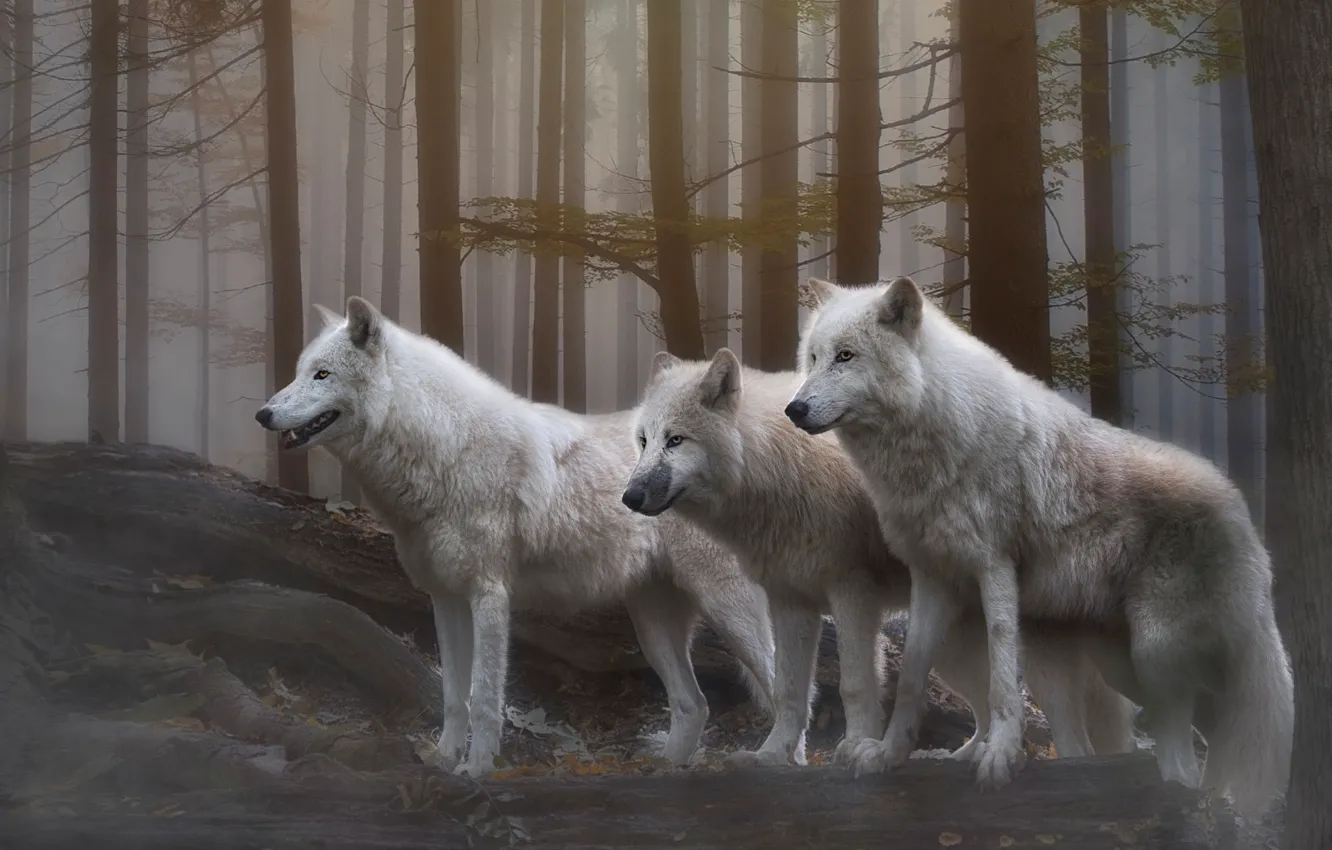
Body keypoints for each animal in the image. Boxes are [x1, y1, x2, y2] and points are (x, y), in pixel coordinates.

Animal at [255, 296, 778, 777]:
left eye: (322, 375)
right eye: (301, 372)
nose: (263, 413)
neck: (448, 451)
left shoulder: (489, 596)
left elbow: (485, 697)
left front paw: (477, 771)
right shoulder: (445, 600)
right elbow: (454, 697)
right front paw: (443, 761)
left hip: (728, 611)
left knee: (784, 686)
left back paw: (776, 763)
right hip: (652, 624)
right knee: (695, 705)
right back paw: (665, 770)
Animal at [622, 348, 1136, 768]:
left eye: (676, 440)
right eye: (643, 441)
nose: (629, 497)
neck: (779, 468)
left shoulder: (851, 593)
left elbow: (853, 684)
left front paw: (854, 748)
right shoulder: (791, 601)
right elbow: (789, 691)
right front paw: (770, 757)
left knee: (1068, 742)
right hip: (949, 651)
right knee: (989, 715)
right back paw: (955, 758)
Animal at [785, 276, 1294, 817]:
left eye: (846, 356)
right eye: (813, 357)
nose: (793, 409)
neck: (933, 441)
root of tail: (1241, 514)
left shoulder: (995, 567)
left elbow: (1003, 678)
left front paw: (1000, 758)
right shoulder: (931, 579)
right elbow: (909, 679)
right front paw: (887, 754)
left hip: (1156, 657)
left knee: (1195, 753)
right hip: (1124, 670)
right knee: (1208, 740)